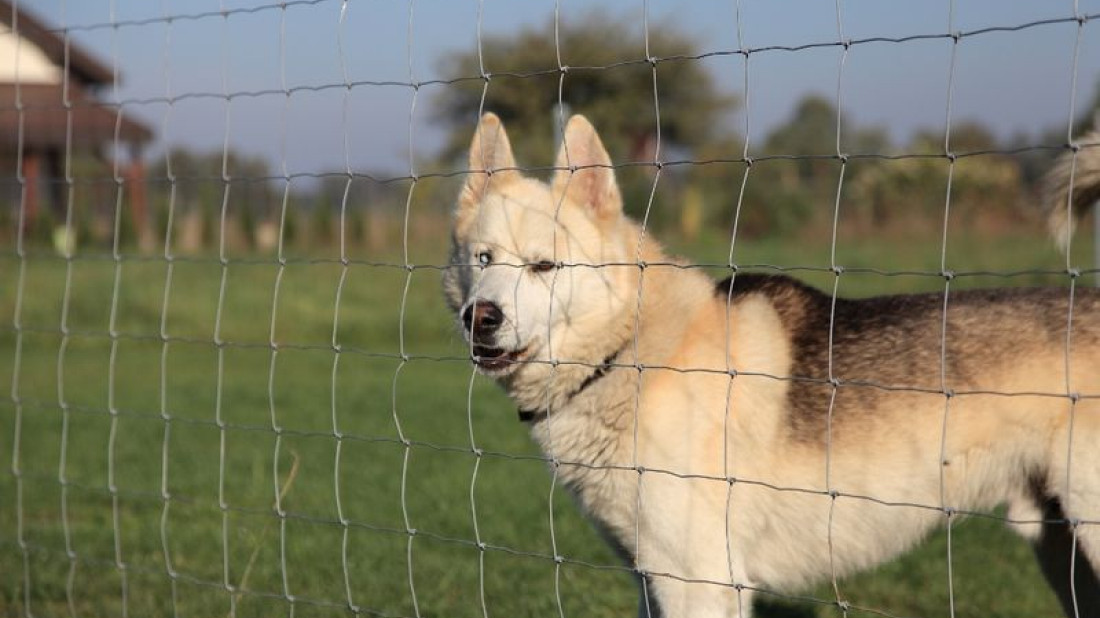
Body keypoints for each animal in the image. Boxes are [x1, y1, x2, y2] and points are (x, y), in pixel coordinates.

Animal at [442, 111, 1100, 615]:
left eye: (544, 266)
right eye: (484, 258)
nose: (481, 317)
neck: (630, 352)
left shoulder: (698, 584)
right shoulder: (652, 581)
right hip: (1062, 554)